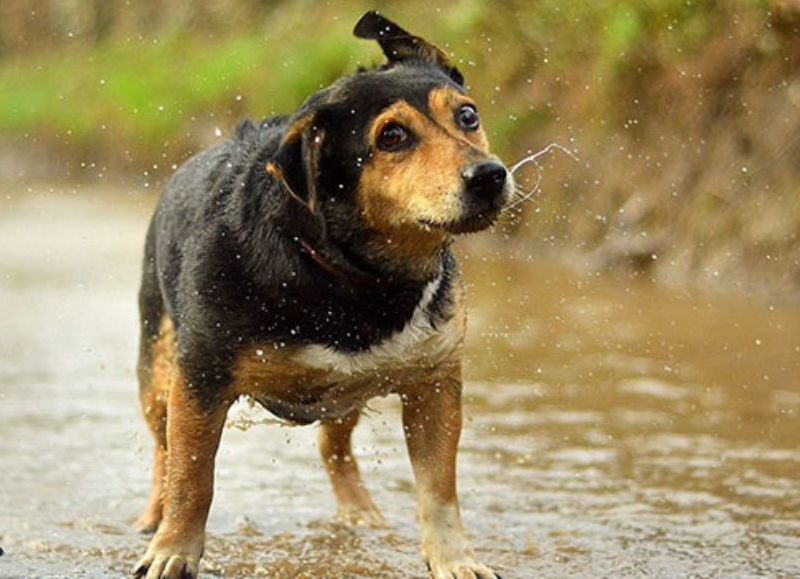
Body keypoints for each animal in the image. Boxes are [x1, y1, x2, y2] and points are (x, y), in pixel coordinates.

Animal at [130, 10, 506, 579]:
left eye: (467, 116)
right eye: (392, 136)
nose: (489, 176)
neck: (354, 275)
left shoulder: (434, 382)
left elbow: (439, 488)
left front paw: (455, 558)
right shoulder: (200, 377)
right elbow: (192, 476)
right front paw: (173, 551)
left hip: (344, 393)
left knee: (334, 445)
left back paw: (358, 510)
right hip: (157, 367)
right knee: (161, 446)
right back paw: (153, 515)